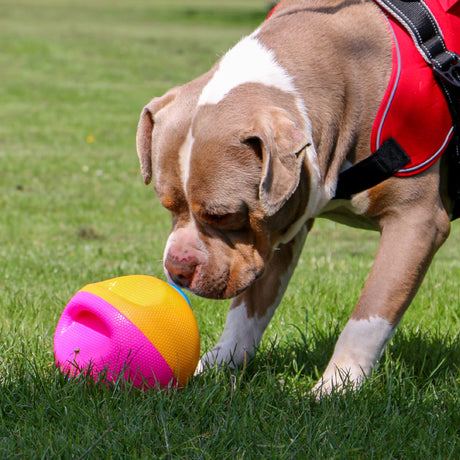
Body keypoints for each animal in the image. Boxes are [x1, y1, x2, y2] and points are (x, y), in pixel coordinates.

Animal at [135, 0, 458, 396]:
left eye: (223, 215)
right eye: (167, 205)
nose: (178, 268)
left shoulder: (416, 221)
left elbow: (370, 315)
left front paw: (336, 387)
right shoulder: (282, 224)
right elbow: (248, 310)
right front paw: (218, 364)